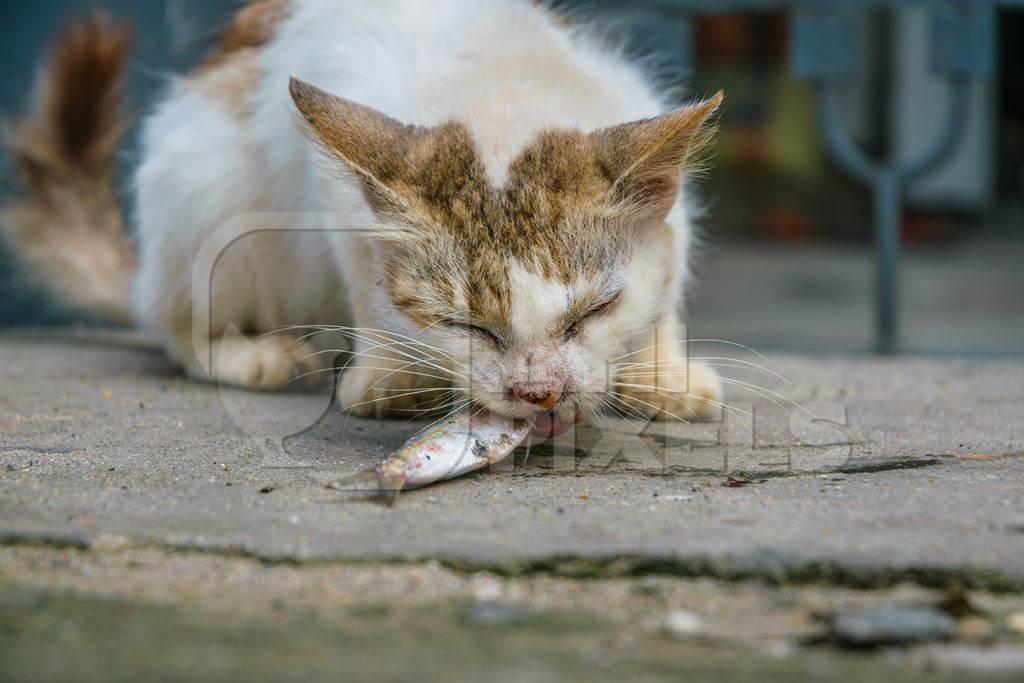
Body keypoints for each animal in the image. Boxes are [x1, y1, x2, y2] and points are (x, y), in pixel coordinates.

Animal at [6, 1, 729, 438]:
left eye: (593, 311)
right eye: (465, 326)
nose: (539, 393)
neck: (500, 89)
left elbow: (666, 287)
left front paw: (662, 371)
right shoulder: (337, 203)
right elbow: (364, 282)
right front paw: (391, 377)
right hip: (201, 190)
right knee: (175, 324)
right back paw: (253, 353)